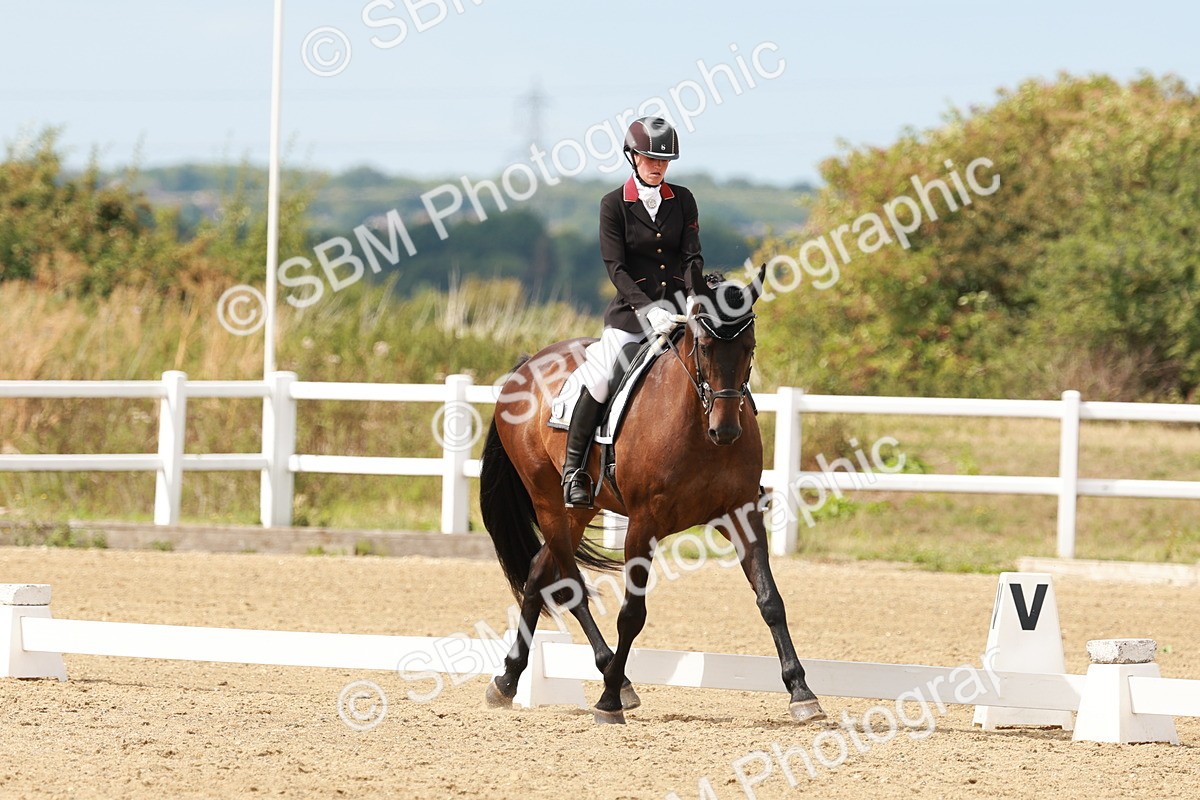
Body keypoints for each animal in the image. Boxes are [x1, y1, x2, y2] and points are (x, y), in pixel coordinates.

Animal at [478, 270, 825, 725]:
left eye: (749, 347)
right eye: (704, 345)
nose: (726, 431)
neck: (697, 426)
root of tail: (526, 365)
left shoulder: (741, 514)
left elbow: (771, 600)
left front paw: (801, 692)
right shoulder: (643, 525)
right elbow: (632, 613)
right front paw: (608, 701)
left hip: (579, 510)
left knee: (538, 571)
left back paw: (508, 680)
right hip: (548, 499)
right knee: (569, 583)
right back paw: (614, 679)